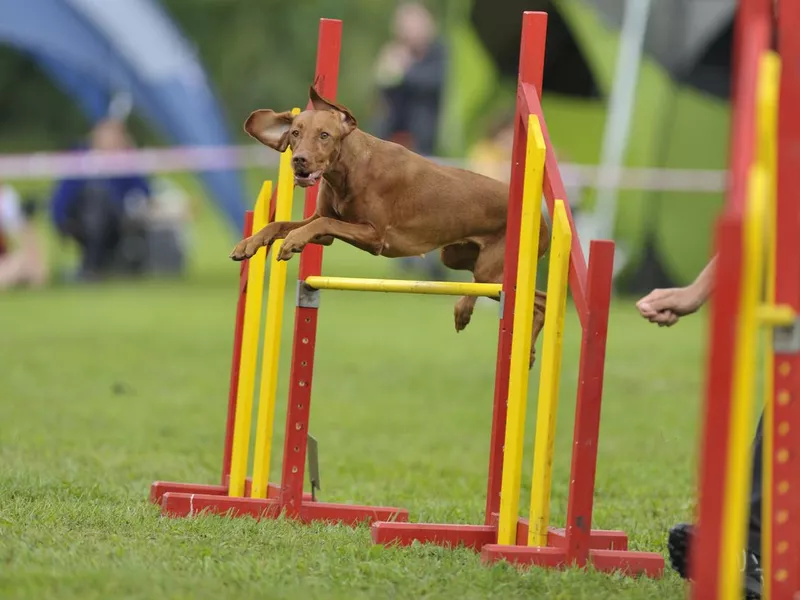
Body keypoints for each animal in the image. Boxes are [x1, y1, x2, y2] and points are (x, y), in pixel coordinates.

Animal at [231, 86, 552, 364]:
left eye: (324, 135)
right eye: (296, 133)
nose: (299, 160)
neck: (349, 168)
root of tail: (543, 218)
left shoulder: (374, 236)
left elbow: (320, 222)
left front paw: (293, 242)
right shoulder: (324, 233)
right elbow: (282, 224)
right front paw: (249, 244)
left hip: (492, 271)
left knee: (540, 300)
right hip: (457, 258)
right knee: (533, 297)